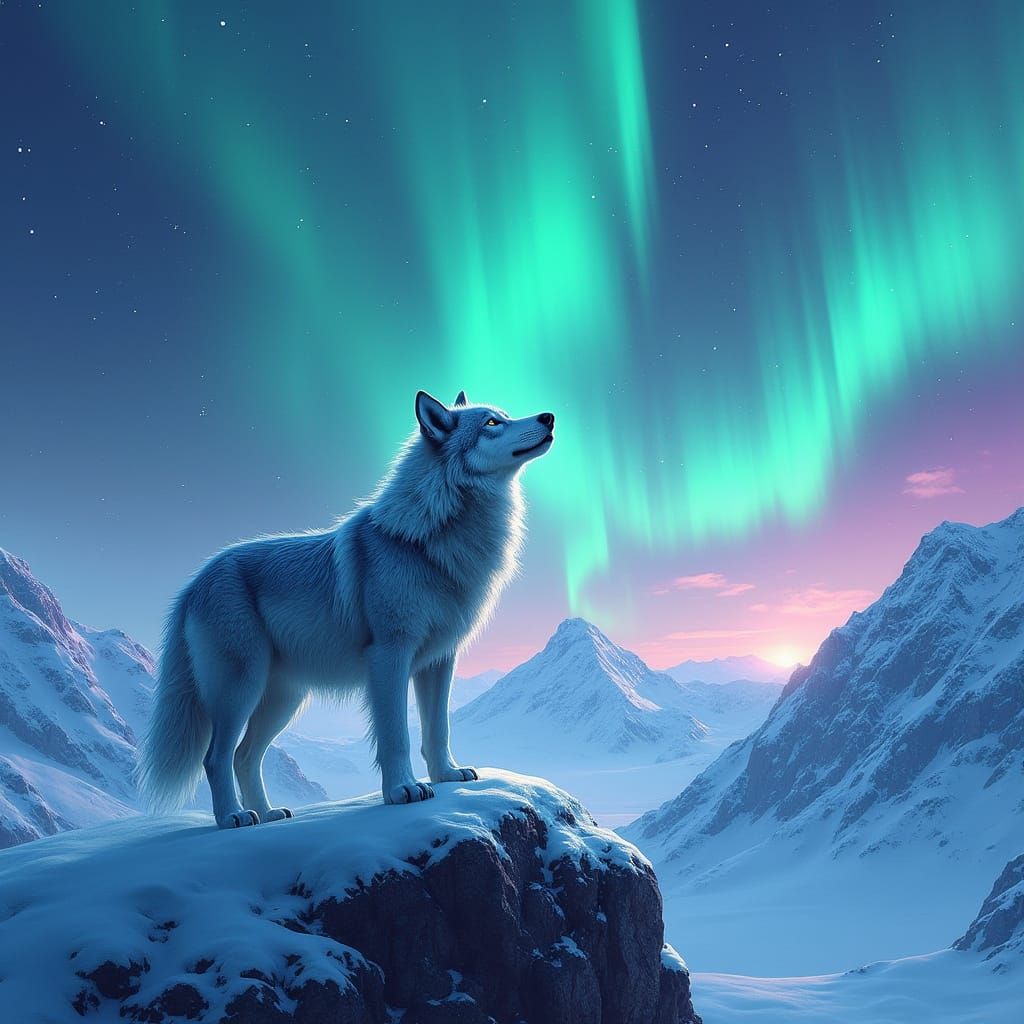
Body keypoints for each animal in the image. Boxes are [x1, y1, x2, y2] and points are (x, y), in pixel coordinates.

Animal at [139, 391, 554, 828]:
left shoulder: (439, 661)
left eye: (505, 415)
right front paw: (403, 791)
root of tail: (194, 582)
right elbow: (396, 735)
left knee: (244, 756)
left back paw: (268, 814)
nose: (549, 417)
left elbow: (438, 729)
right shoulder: (389, 655)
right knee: (216, 758)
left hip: (283, 700)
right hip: (241, 689)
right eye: (491, 423)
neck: (428, 540)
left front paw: (446, 776)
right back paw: (233, 817)